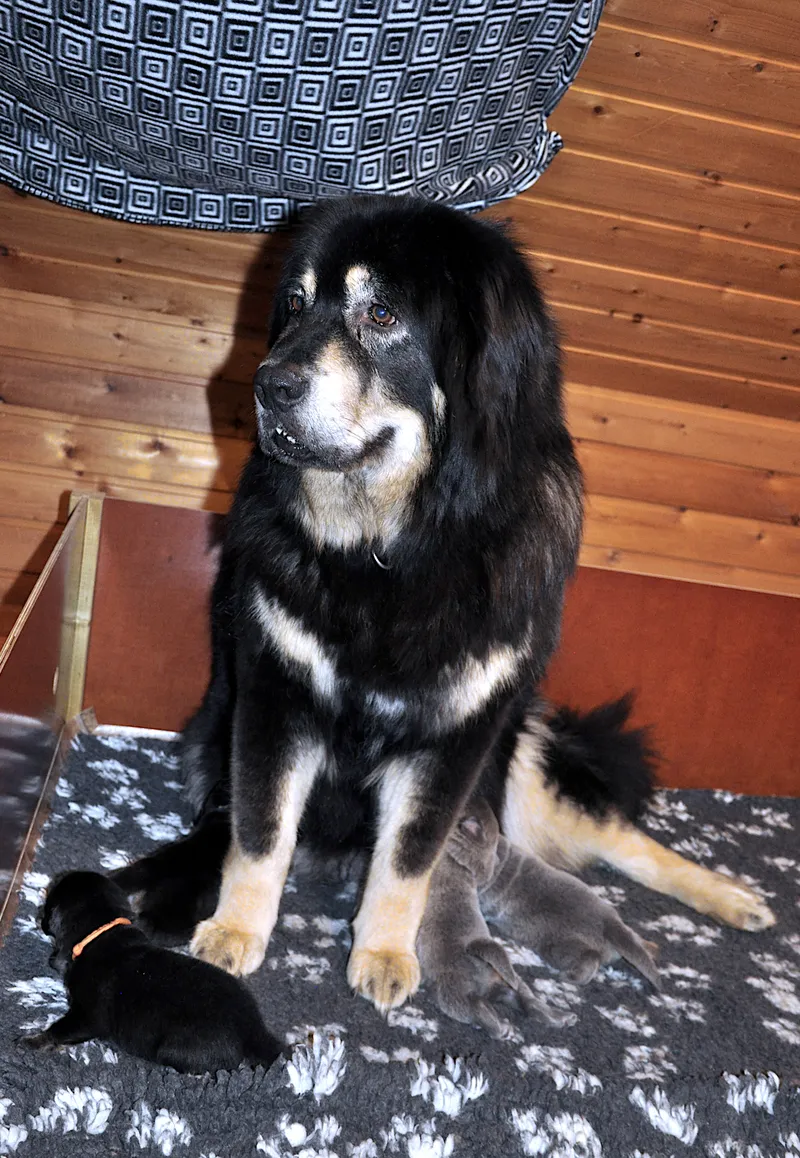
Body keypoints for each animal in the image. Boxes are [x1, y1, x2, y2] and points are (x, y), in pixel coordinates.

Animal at [22, 872, 283, 1073]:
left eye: (49, 906)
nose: (38, 917)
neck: (103, 932)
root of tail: (254, 1028)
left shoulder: (88, 1015)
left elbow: (61, 1030)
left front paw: (30, 1042)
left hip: (176, 1050)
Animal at [417, 811, 577, 1038]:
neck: (455, 864)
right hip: (510, 981)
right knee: (527, 1000)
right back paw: (560, 1016)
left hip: (454, 994)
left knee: (476, 1008)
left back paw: (500, 1029)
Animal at [449, 800, 660, 988]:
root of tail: (610, 924)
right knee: (632, 937)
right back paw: (649, 946)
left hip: (559, 946)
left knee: (590, 960)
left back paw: (569, 977)